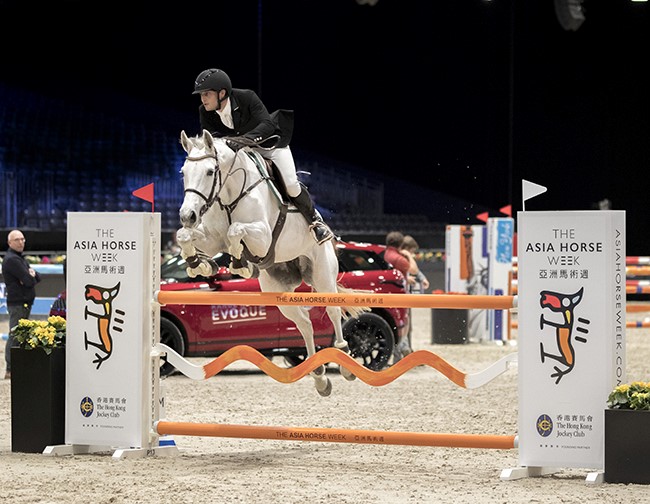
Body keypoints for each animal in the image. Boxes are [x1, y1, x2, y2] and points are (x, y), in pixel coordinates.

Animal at [175, 128, 362, 396]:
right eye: (183, 172)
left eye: (210, 171)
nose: (187, 216)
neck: (229, 194)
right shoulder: (212, 240)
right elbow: (185, 236)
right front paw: (200, 264)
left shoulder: (262, 238)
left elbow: (235, 230)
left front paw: (239, 263)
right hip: (279, 292)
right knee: (304, 323)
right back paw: (318, 375)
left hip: (323, 275)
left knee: (334, 312)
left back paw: (344, 360)